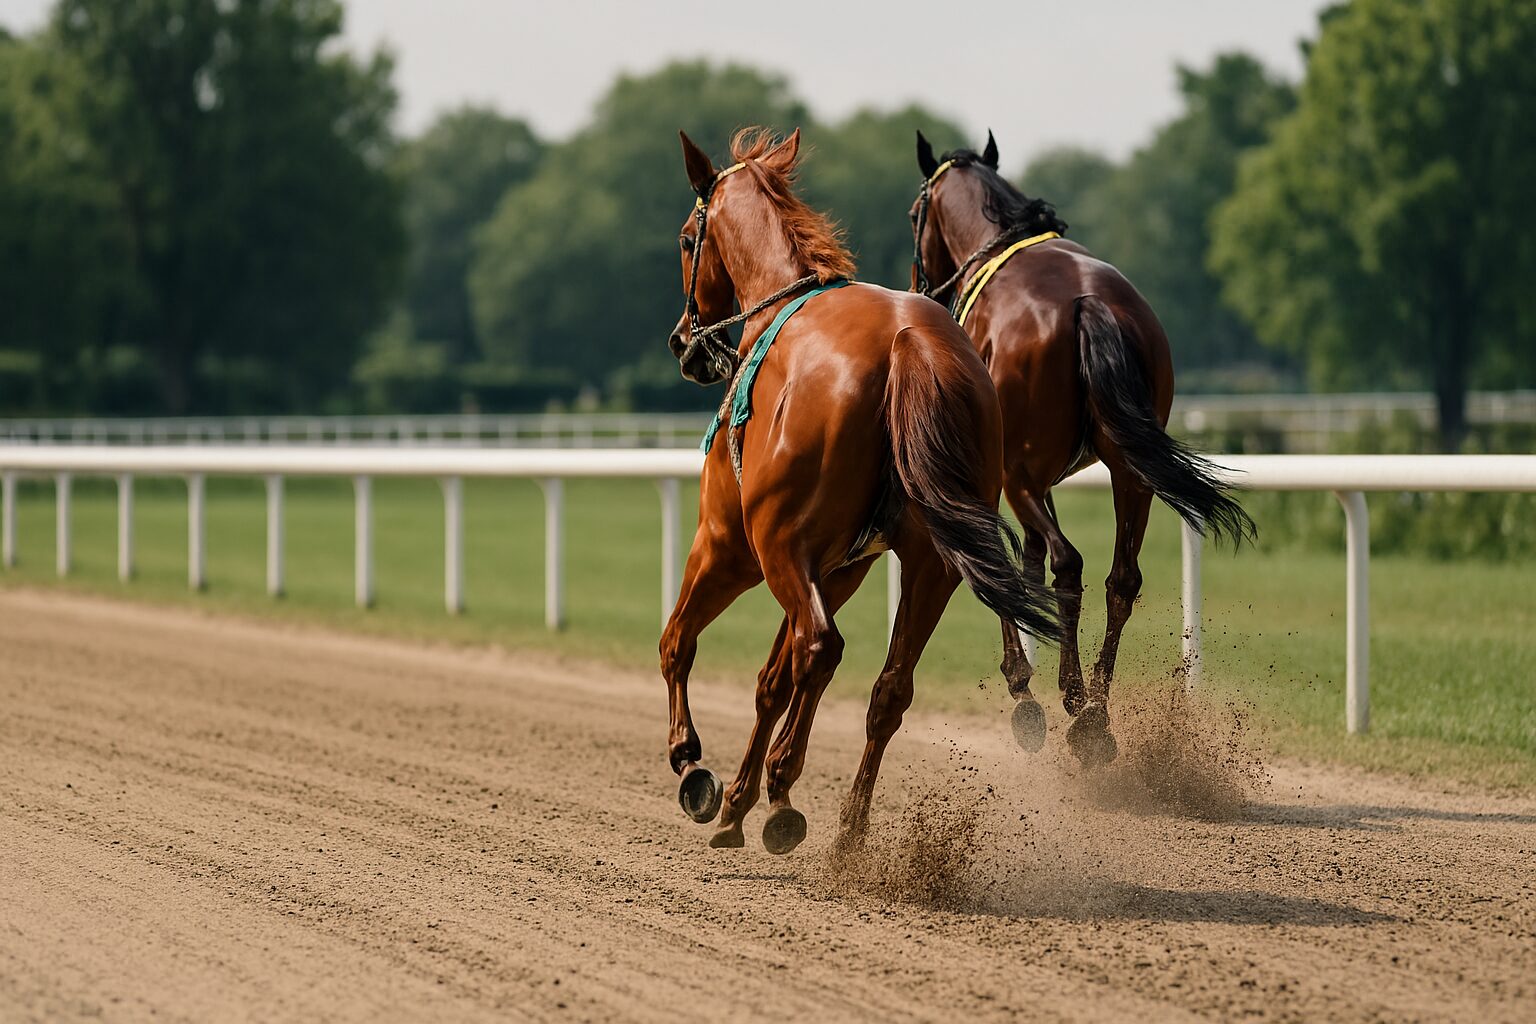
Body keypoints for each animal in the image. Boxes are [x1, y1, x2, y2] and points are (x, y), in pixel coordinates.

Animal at [661, 127, 1059, 854]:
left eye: (684, 239)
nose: (685, 343)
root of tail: (908, 345)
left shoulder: (731, 545)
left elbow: (679, 643)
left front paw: (695, 767)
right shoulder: (841, 566)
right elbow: (773, 680)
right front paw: (736, 802)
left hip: (775, 550)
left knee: (823, 648)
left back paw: (785, 793)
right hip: (933, 565)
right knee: (888, 688)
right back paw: (846, 825)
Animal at [909, 130, 1255, 765]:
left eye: (913, 214)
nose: (921, 285)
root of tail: (1089, 305)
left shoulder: (1004, 477)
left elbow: (1011, 565)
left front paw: (1023, 681)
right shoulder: (1048, 478)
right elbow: (1033, 562)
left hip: (1021, 475)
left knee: (1068, 564)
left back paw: (1073, 700)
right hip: (1131, 474)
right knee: (1122, 578)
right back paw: (1095, 709)